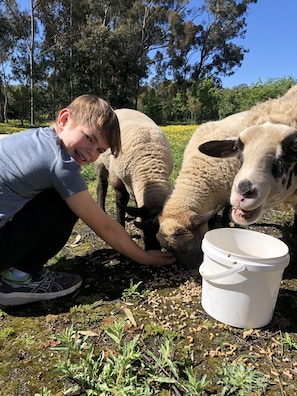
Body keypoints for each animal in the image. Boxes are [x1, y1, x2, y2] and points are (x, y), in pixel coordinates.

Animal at [94, 107, 173, 251]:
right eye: (144, 232)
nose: (153, 249)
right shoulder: (117, 180)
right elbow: (121, 202)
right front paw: (120, 225)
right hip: (100, 163)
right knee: (101, 187)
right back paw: (101, 209)